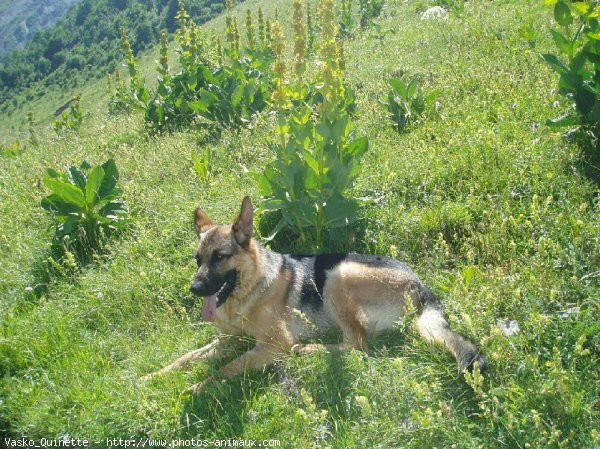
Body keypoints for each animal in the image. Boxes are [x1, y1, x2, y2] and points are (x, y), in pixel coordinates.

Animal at [143, 196, 486, 392]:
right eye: (198, 259)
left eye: (220, 257)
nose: (195, 289)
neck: (248, 290)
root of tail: (421, 285)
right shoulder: (225, 341)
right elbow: (185, 358)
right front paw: (153, 377)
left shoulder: (272, 345)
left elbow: (227, 369)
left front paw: (196, 387)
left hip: (337, 275)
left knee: (358, 345)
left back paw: (308, 350)